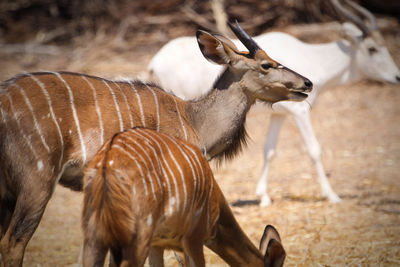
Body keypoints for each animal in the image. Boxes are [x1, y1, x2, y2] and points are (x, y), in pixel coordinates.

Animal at [148, 0, 400, 207]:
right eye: (372, 48)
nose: (396, 77)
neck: (313, 57)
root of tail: (155, 61)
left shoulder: (279, 114)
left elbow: (269, 150)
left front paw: (264, 197)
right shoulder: (299, 111)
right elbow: (314, 149)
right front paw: (332, 196)